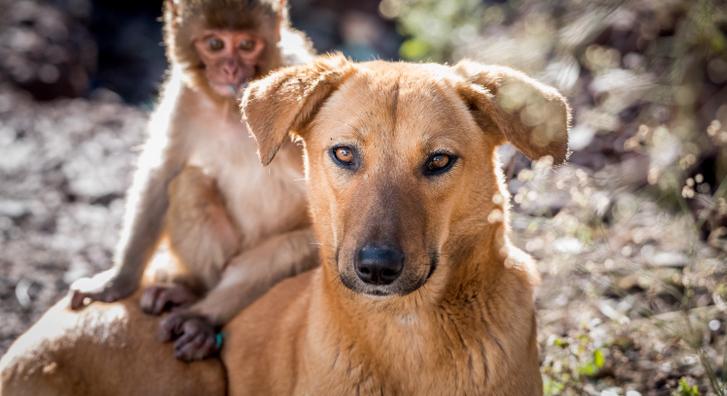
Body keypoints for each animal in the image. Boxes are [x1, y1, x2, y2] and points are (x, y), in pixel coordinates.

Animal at [69, 0, 318, 360]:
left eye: (247, 44)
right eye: (215, 44)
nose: (230, 70)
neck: (229, 104)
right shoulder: (184, 94)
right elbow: (163, 171)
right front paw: (118, 281)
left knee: (297, 245)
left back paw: (200, 317)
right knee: (188, 184)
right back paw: (191, 290)